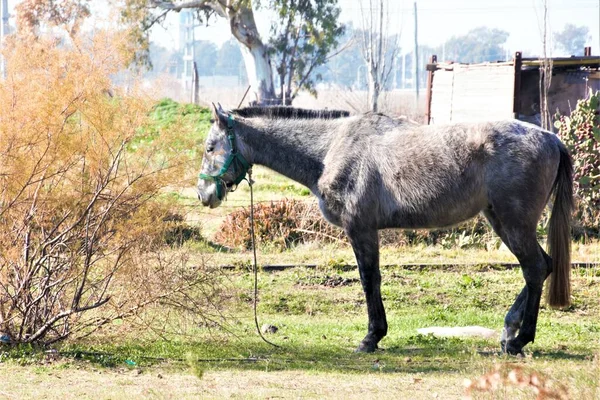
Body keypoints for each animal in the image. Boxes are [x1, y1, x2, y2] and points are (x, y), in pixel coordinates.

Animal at [197, 104, 572, 354]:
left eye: (209, 147)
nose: (203, 194)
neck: (331, 148)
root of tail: (552, 138)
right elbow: (372, 279)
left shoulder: (360, 230)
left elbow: (369, 279)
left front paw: (371, 337)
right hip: (501, 221)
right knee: (540, 267)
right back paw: (510, 332)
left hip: (514, 223)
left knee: (534, 268)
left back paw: (519, 339)